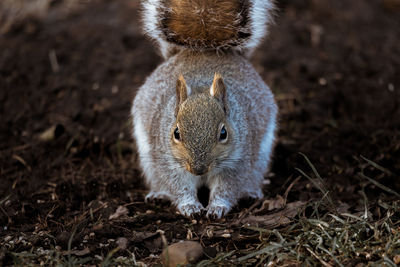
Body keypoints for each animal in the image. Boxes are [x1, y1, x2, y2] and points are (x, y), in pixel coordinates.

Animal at [133, 0, 276, 220]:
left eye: (223, 133)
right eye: (176, 133)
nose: (198, 169)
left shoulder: (238, 162)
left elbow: (227, 187)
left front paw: (217, 207)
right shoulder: (167, 161)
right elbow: (179, 186)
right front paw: (189, 206)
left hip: (260, 159)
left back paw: (251, 192)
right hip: (149, 161)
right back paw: (159, 193)